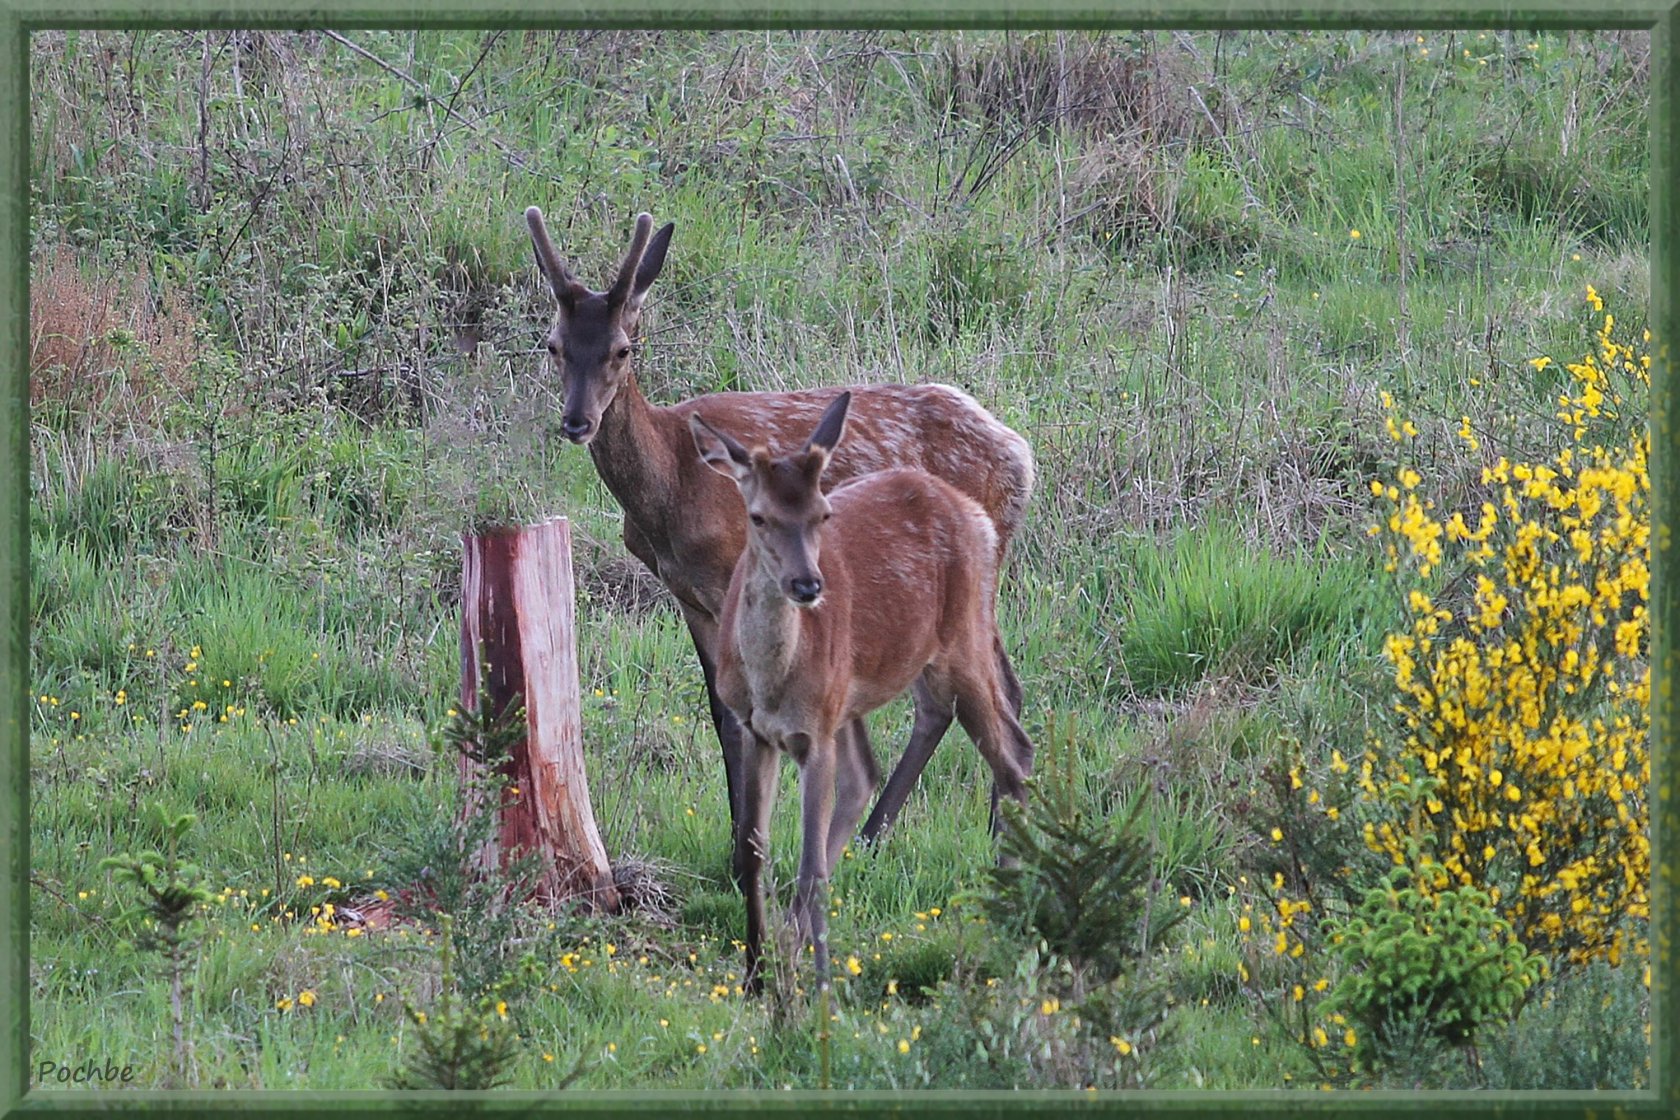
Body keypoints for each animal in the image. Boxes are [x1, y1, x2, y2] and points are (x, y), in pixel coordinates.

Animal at [524, 204, 1028, 849]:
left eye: (621, 349)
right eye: (554, 344)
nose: (577, 421)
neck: (670, 492)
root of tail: (1020, 454)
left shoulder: (731, 576)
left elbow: (745, 715)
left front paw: (750, 839)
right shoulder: (689, 595)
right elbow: (719, 713)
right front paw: (738, 831)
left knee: (982, 692)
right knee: (974, 694)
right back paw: (930, 829)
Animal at [688, 392, 1028, 987]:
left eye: (823, 513)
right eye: (758, 516)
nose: (807, 584)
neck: (771, 684)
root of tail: (976, 515)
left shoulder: (816, 732)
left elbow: (810, 864)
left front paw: (816, 982)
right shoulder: (756, 730)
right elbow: (755, 851)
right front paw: (755, 975)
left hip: (961, 642)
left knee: (1010, 754)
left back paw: (1003, 916)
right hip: (877, 686)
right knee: (876, 768)